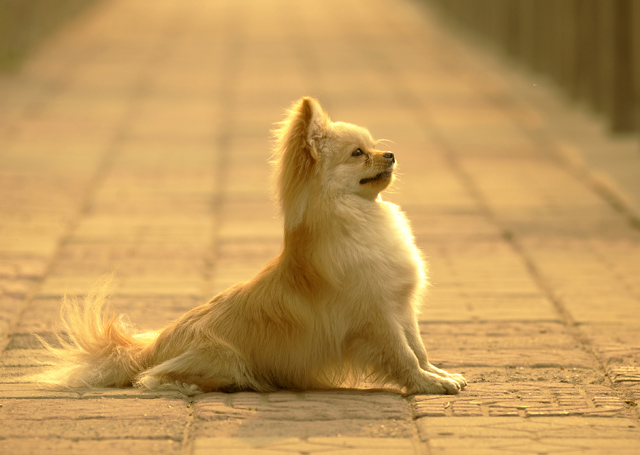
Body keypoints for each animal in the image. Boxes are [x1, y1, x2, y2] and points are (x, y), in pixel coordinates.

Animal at [33, 96, 464, 396]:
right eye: (358, 154)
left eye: (374, 146)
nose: (390, 154)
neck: (361, 216)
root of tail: (151, 347)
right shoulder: (376, 316)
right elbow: (402, 355)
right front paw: (427, 385)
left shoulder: (401, 307)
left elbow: (419, 348)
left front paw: (440, 375)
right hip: (224, 356)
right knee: (153, 378)